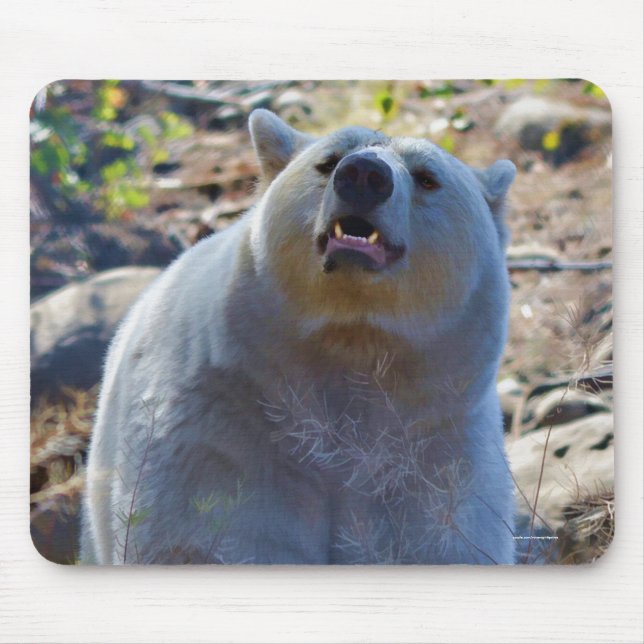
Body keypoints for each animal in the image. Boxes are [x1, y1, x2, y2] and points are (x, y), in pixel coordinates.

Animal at [81, 109, 517, 565]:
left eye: (427, 177)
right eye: (328, 161)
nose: (364, 174)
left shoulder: (440, 452)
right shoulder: (219, 432)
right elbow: (207, 534)